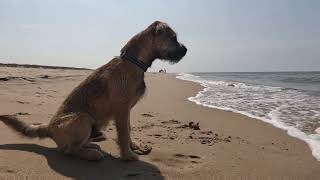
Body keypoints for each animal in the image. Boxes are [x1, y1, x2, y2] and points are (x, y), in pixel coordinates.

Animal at [0, 21, 188, 162]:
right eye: (173, 38)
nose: (186, 50)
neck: (133, 61)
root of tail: (49, 127)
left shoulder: (126, 110)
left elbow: (128, 129)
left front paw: (134, 146)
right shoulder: (121, 109)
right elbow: (123, 133)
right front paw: (127, 155)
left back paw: (91, 145)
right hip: (82, 119)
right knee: (69, 150)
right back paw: (91, 154)